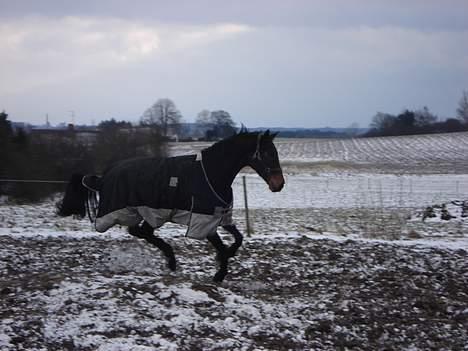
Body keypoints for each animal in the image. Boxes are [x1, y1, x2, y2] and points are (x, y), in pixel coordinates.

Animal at [58, 130, 286, 284]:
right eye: (268, 153)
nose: (279, 185)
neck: (212, 172)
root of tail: (106, 174)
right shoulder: (203, 220)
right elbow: (221, 246)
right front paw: (219, 273)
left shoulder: (219, 215)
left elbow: (238, 239)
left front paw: (224, 258)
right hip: (142, 211)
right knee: (140, 232)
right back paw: (171, 261)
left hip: (147, 212)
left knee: (140, 232)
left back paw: (170, 260)